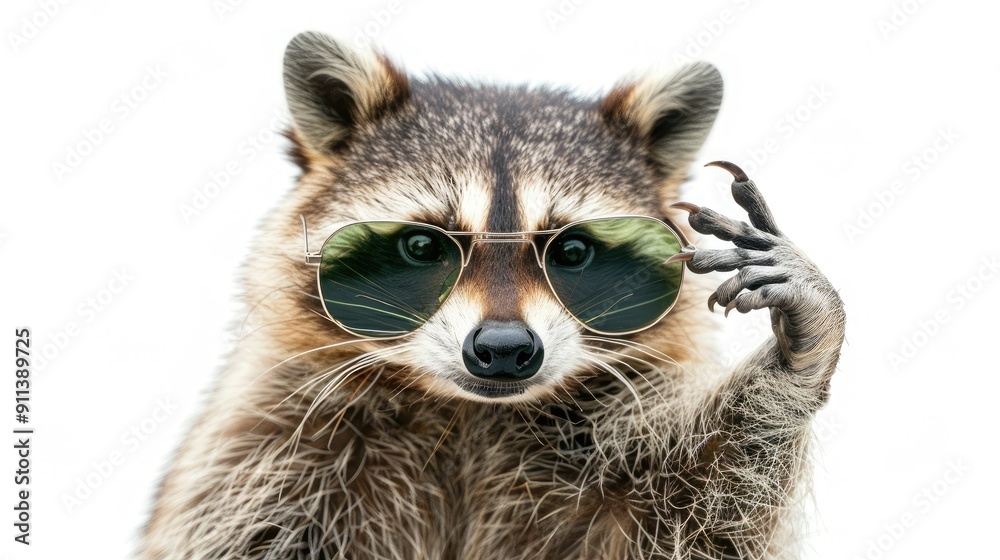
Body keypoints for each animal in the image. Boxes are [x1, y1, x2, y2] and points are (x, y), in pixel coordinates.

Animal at [142, 32, 845, 559]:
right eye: (422, 247)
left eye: (572, 252)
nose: (505, 348)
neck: (467, 415)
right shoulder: (265, 443)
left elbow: (704, 513)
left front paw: (795, 359)